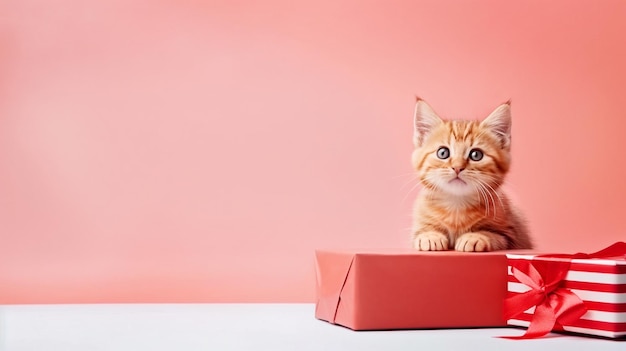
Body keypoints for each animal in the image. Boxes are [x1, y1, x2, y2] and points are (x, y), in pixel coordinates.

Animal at [410, 99, 532, 252]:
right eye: (443, 153)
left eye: (476, 155)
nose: (457, 167)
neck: (456, 205)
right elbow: (419, 233)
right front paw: (429, 236)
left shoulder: (513, 235)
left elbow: (494, 235)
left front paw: (475, 237)